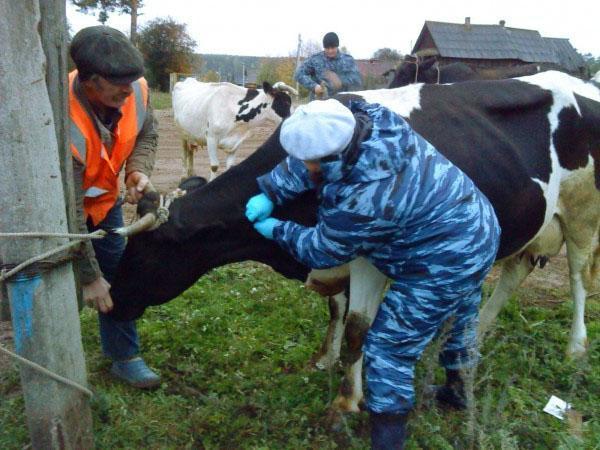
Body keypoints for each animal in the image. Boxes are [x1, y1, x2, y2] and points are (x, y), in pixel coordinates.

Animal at [109, 71, 600, 414]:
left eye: (146, 253)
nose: (112, 304)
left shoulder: (367, 257)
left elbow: (359, 328)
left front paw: (347, 401)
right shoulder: (333, 254)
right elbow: (337, 311)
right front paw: (324, 360)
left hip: (582, 213)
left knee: (578, 277)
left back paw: (575, 348)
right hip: (534, 218)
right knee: (515, 270)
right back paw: (473, 337)